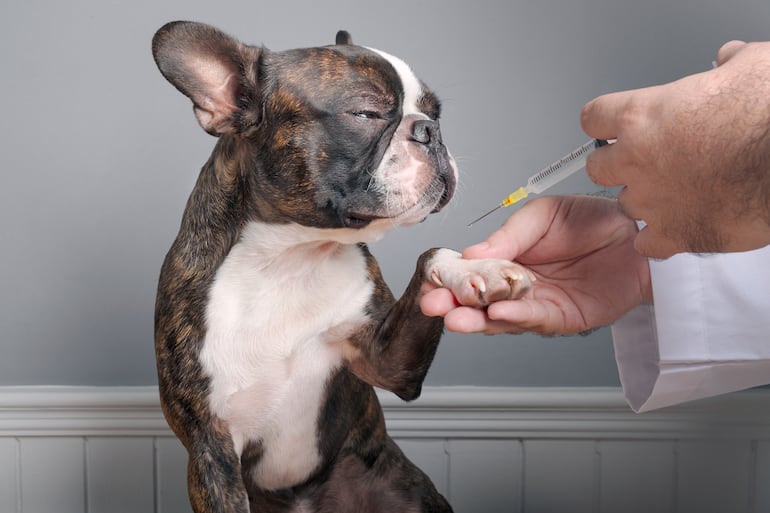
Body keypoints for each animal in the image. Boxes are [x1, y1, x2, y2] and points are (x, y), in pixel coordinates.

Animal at [153, 21, 532, 512]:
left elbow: (429, 256)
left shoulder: (385, 362)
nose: (431, 131)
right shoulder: (209, 449)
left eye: (436, 113)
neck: (290, 257)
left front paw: (474, 270)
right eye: (366, 113)